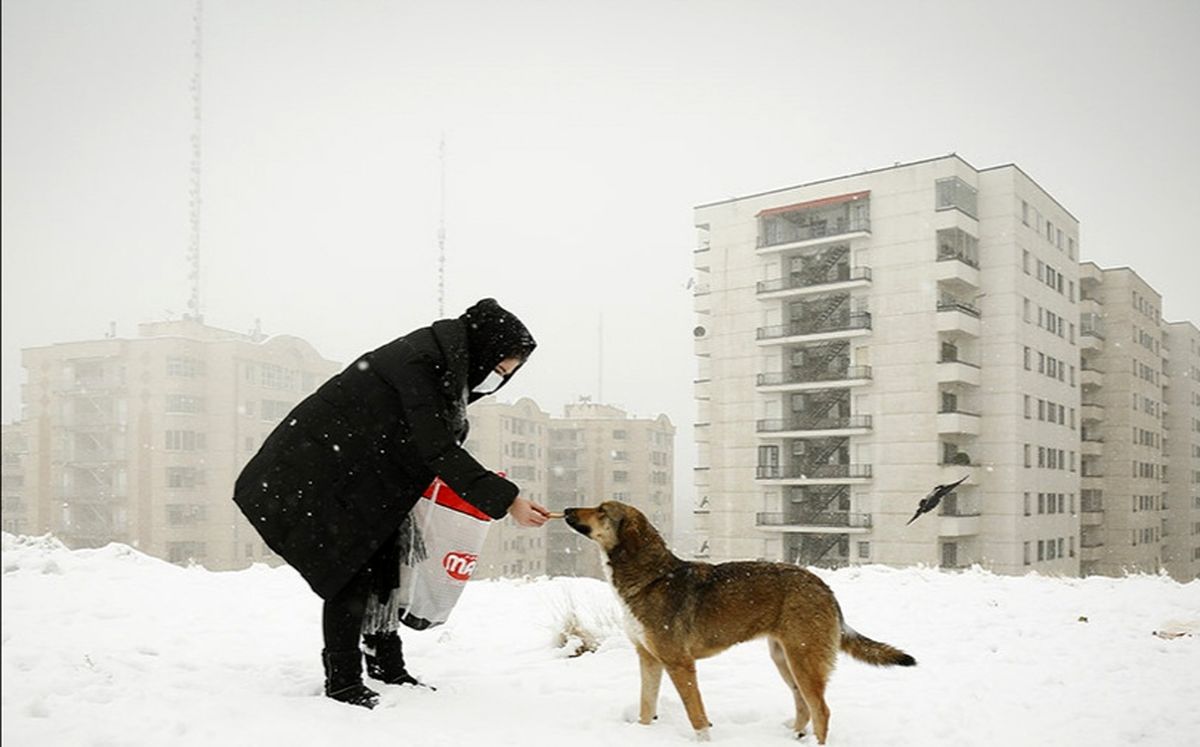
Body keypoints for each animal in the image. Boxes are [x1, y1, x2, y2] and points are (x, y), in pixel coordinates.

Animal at [561, 504, 907, 744]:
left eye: (602, 510)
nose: (565, 510)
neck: (652, 577)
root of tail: (825, 588)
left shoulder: (679, 663)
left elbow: (697, 715)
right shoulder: (649, 658)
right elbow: (647, 707)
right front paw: (643, 736)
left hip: (803, 660)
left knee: (821, 710)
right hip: (784, 658)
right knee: (804, 706)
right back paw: (792, 736)